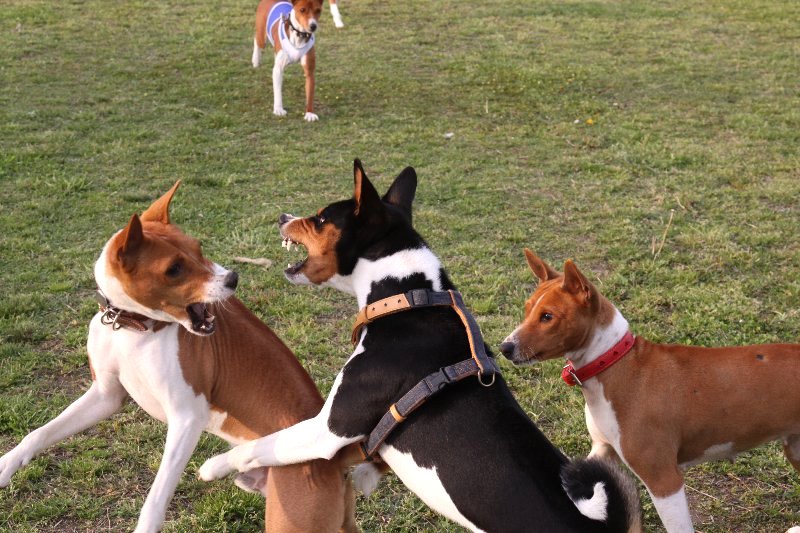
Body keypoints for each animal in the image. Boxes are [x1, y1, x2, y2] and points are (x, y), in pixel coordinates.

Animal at [0, 181, 361, 533]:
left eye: (198, 249)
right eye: (173, 269)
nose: (233, 278)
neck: (134, 329)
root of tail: (336, 456)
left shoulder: (186, 419)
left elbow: (155, 500)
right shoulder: (106, 396)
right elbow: (40, 432)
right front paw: (6, 465)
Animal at [198, 160, 642, 532]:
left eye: (322, 219)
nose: (282, 217)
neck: (407, 297)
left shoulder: (330, 428)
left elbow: (262, 444)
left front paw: (214, 466)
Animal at [500, 248, 800, 533]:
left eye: (547, 316)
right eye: (527, 310)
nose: (505, 347)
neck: (616, 364)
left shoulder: (664, 480)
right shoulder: (601, 450)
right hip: (796, 449)